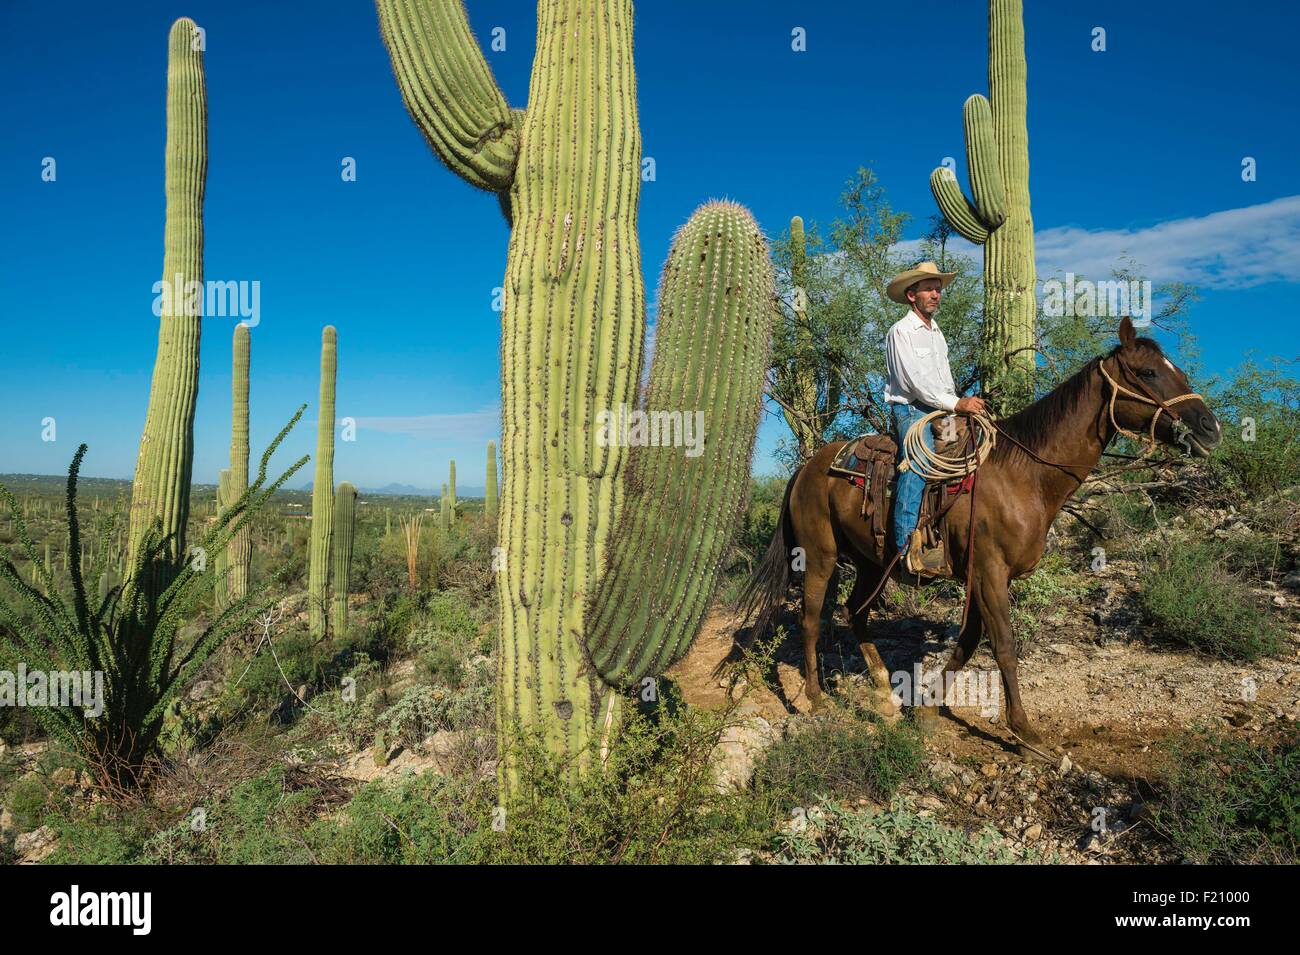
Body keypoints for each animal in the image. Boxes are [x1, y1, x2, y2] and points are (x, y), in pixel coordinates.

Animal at [743, 320, 1216, 748]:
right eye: (1149, 372)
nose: (1211, 427)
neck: (1024, 473)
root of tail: (807, 468)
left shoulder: (979, 573)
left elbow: (970, 640)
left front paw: (928, 709)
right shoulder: (990, 570)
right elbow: (1003, 644)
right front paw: (1024, 731)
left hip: (870, 562)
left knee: (855, 612)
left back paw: (882, 693)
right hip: (820, 555)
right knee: (810, 619)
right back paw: (816, 699)